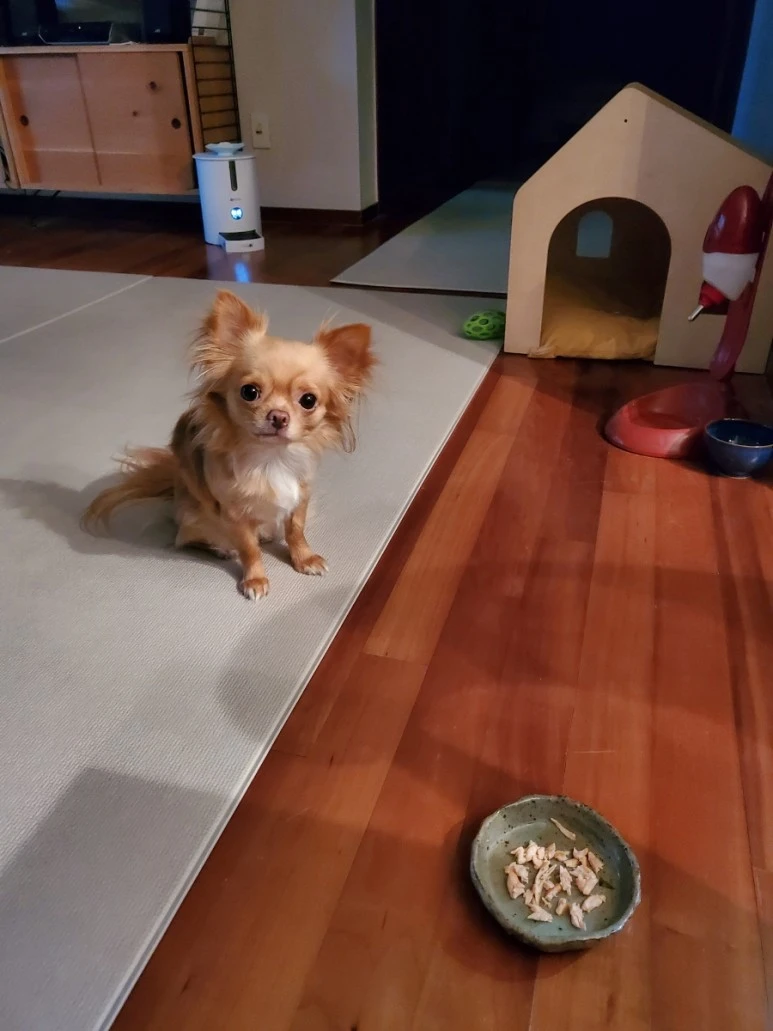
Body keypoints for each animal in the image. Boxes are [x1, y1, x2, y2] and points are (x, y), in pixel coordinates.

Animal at [82, 289, 375, 599]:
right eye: (250, 392)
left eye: (308, 400)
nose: (278, 416)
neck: (271, 458)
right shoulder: (235, 515)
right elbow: (249, 549)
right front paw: (255, 579)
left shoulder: (300, 498)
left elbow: (296, 531)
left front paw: (304, 559)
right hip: (196, 519)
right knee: (186, 539)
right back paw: (221, 549)